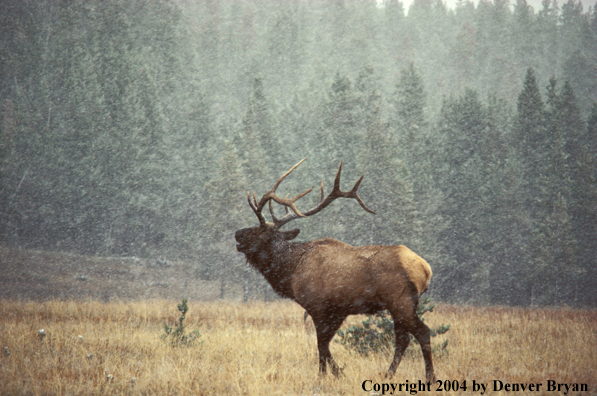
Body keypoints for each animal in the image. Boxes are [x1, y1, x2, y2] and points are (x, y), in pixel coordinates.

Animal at [235, 159, 436, 382]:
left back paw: (429, 377)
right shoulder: (338, 311)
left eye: (257, 231)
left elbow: (321, 344)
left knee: (422, 332)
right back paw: (388, 374)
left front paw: (324, 376)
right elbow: (327, 344)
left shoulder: (317, 306)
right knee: (403, 339)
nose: (237, 233)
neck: (291, 271)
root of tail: (425, 269)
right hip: (401, 305)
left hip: (401, 301)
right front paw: (338, 372)